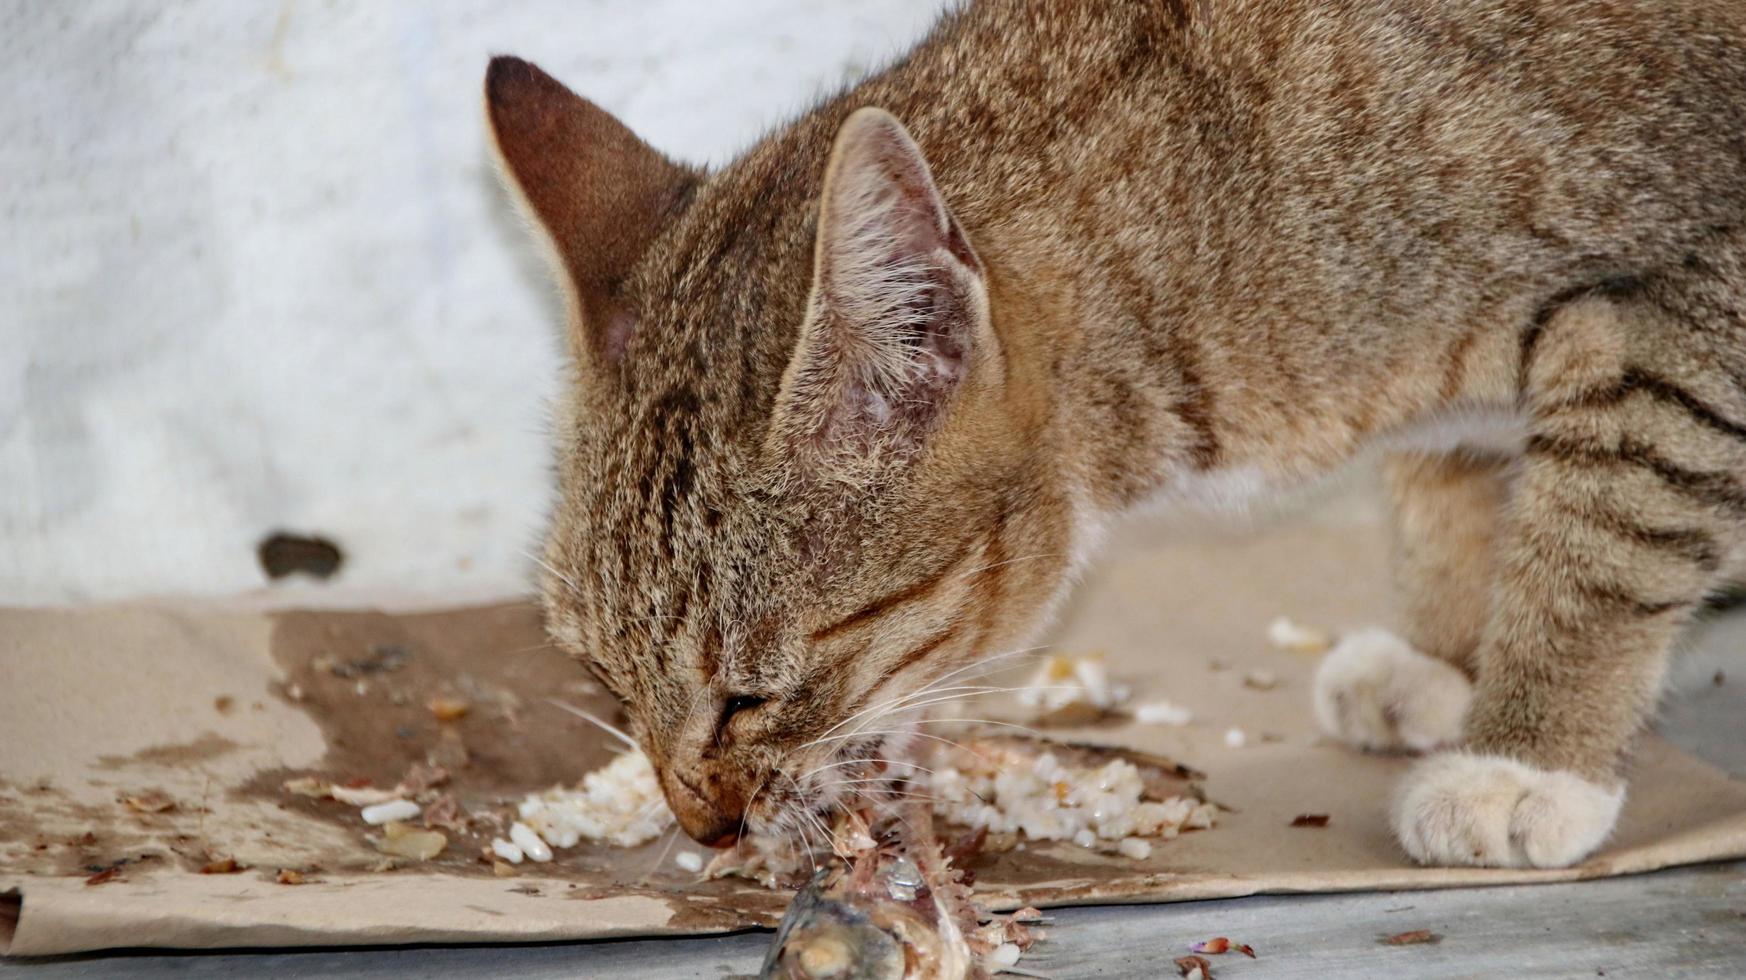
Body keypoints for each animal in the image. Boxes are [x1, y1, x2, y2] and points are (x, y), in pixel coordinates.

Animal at [481, 0, 1746, 862]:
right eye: (603, 677)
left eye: (750, 692)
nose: (704, 827)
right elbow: (1455, 477)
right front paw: (1448, 650)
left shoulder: (1679, 316)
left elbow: (1602, 542)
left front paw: (1524, 755)